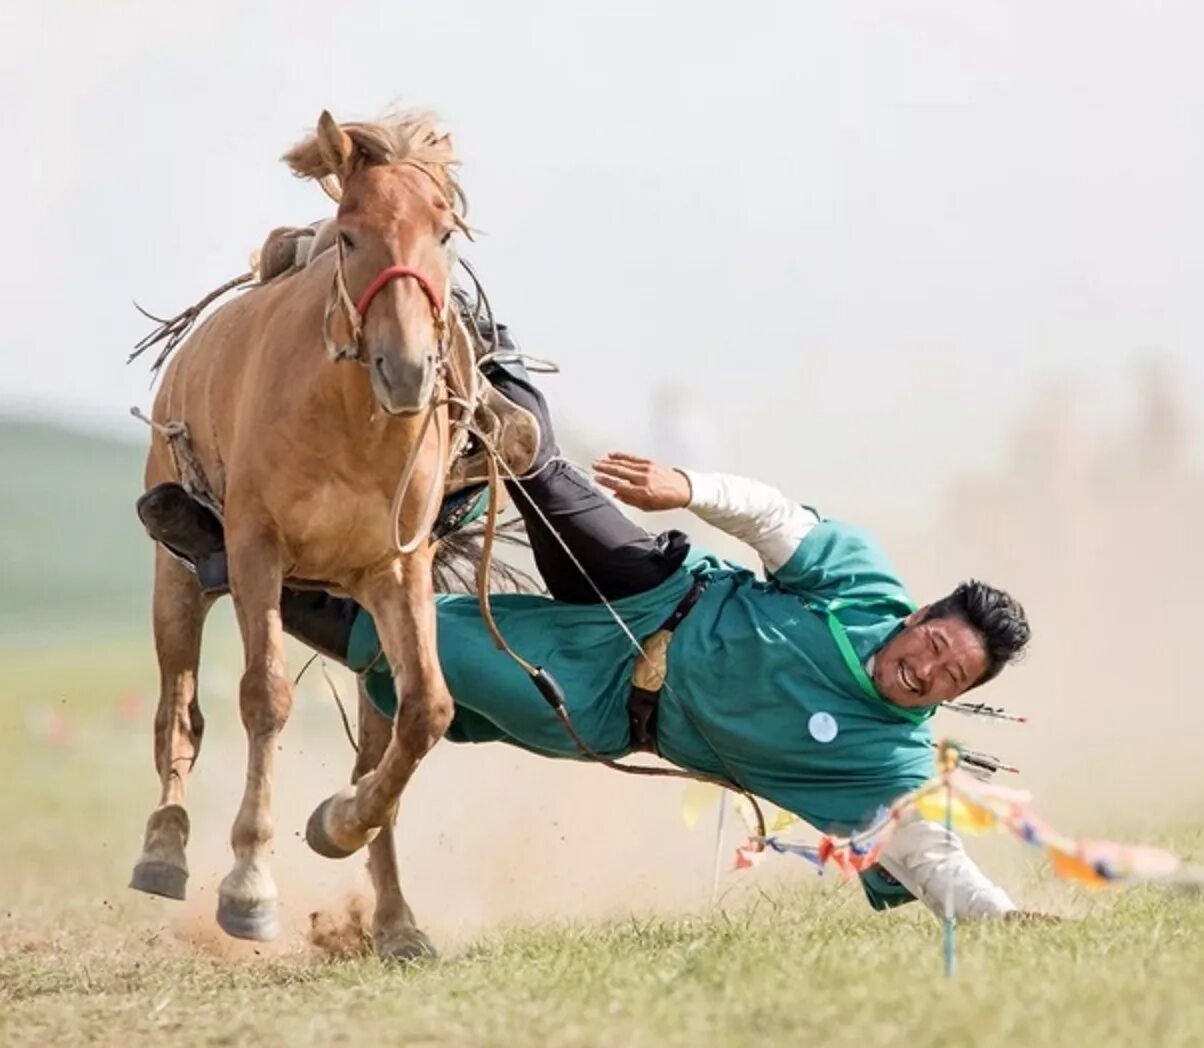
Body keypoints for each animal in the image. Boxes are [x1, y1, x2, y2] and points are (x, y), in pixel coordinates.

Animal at [128, 112, 474, 958]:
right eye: (349, 236)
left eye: (445, 232)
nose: (407, 371)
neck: (349, 421)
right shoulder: (257, 551)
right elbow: (265, 698)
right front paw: (249, 883)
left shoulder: (395, 573)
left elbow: (425, 713)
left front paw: (340, 826)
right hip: (177, 580)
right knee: (177, 712)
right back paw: (164, 850)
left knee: (381, 736)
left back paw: (394, 918)